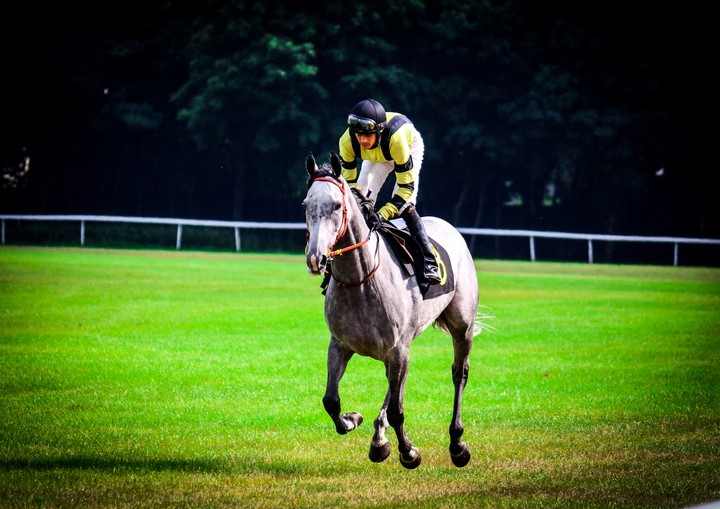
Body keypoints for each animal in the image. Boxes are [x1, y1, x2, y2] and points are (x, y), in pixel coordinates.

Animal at [303, 151, 481, 469]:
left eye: (336, 205)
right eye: (305, 205)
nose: (316, 259)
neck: (361, 280)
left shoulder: (398, 350)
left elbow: (399, 410)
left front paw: (409, 452)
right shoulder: (341, 345)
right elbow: (331, 401)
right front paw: (353, 419)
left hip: (462, 325)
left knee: (459, 372)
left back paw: (457, 443)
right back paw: (379, 440)